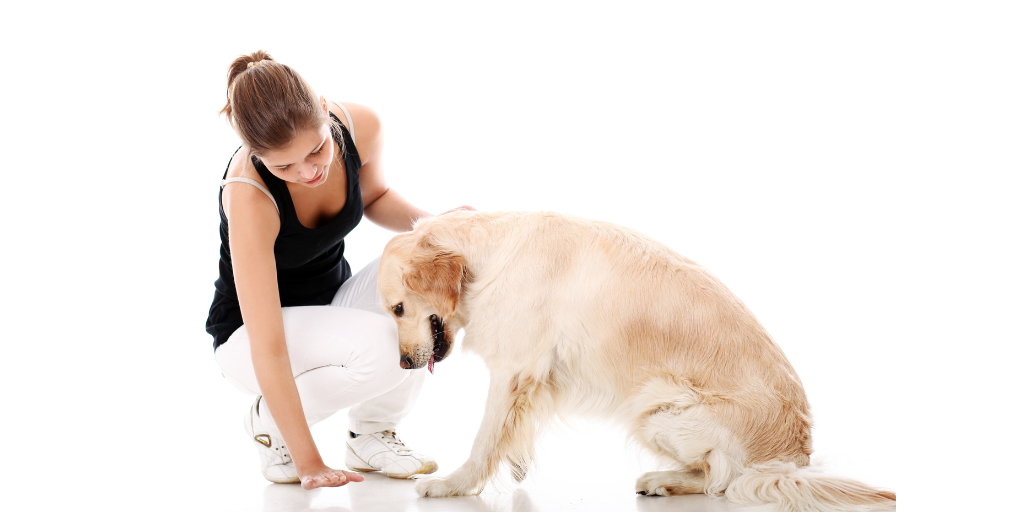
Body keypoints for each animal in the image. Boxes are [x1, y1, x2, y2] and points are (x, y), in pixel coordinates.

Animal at [378, 209, 897, 509]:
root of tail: (793, 460)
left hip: (656, 405)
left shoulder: (514, 368)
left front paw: (453, 486)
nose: (402, 364)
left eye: (398, 309)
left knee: (722, 480)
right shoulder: (531, 377)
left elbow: (485, 437)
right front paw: (516, 462)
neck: (488, 253)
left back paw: (664, 479)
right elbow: (511, 428)